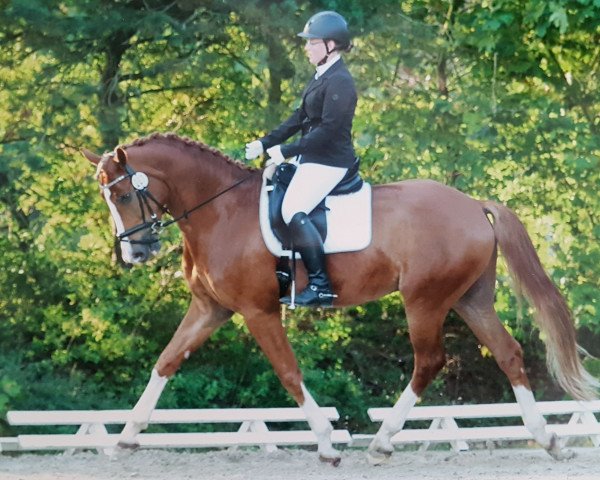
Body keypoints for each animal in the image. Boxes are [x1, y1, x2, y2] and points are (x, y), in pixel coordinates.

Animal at [82, 133, 596, 464]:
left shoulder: (257, 311)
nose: (135, 253)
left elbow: (288, 372)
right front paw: (125, 437)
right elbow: (166, 361)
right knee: (508, 353)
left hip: (425, 300)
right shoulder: (211, 309)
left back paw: (384, 440)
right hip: (470, 299)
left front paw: (328, 442)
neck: (219, 209)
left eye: (124, 195)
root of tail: (473, 204)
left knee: (429, 361)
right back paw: (548, 440)